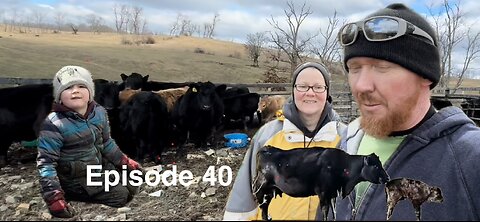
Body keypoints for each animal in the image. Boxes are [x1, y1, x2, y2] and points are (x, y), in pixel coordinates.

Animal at [251, 146, 390, 220]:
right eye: (376, 166)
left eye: (380, 164)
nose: (388, 178)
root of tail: (266, 148)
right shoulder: (323, 192)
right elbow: (325, 210)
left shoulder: (333, 193)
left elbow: (334, 211)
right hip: (260, 190)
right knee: (263, 207)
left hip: (269, 192)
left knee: (265, 208)